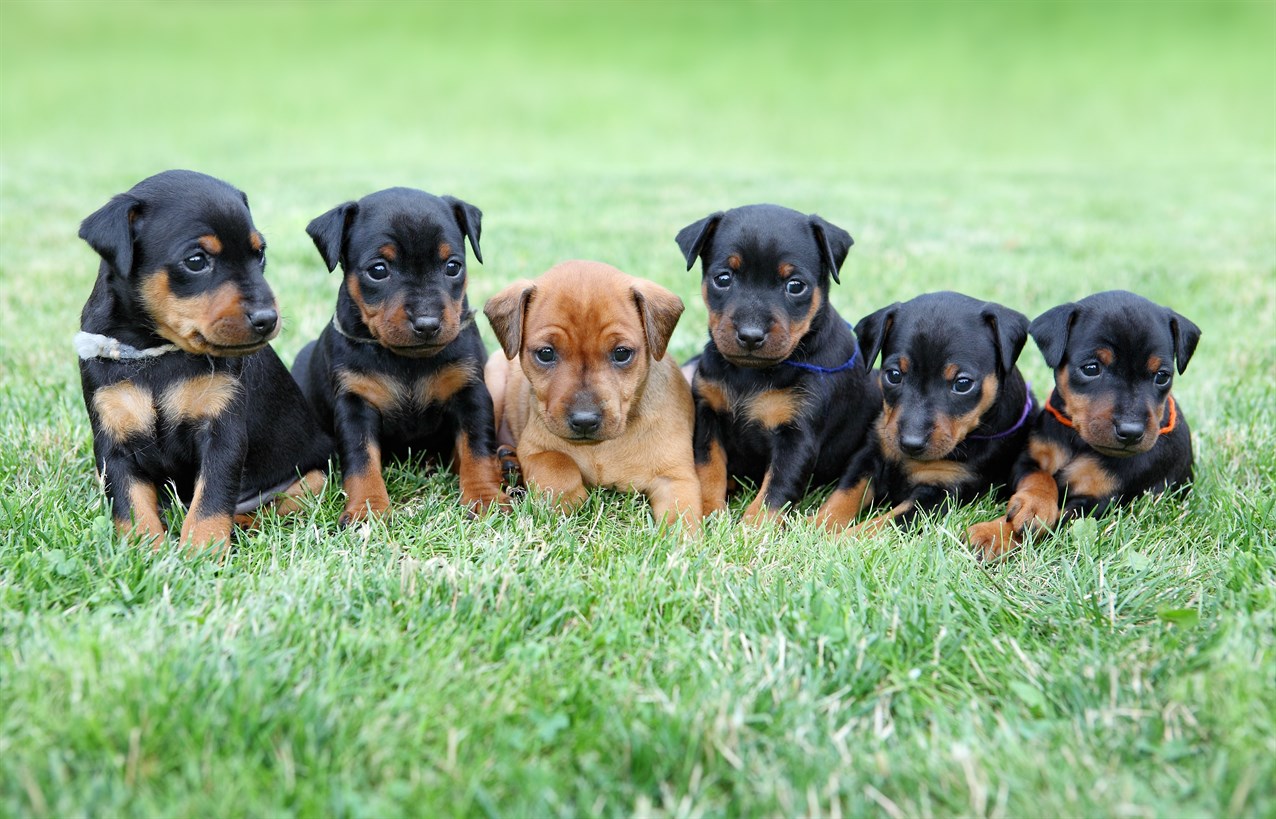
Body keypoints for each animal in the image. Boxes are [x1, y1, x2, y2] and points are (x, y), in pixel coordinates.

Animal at [74, 167, 334, 548]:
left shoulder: (222, 433)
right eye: (196, 261)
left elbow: (210, 502)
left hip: (313, 476)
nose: (267, 318)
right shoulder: (113, 443)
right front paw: (144, 550)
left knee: (271, 507)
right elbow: (130, 505)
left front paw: (202, 550)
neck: (158, 351)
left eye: (260, 255)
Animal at [292, 186, 505, 523]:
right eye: (378, 270)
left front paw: (485, 499)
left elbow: (477, 449)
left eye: (453, 266)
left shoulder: (470, 392)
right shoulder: (355, 404)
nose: (427, 323)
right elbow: (361, 461)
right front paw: (367, 509)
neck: (405, 360)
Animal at [678, 202, 877, 523]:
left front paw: (752, 529)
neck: (751, 373)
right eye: (723, 278)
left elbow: (775, 491)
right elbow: (708, 468)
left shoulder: (797, 436)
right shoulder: (708, 415)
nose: (750, 335)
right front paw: (710, 512)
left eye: (795, 285)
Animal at [821, 292, 1041, 530]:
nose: (910, 444)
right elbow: (842, 497)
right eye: (893, 375)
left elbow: (880, 524)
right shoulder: (870, 454)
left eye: (962, 383)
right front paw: (816, 526)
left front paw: (839, 536)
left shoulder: (941, 492)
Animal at [969, 290, 1199, 558]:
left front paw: (992, 535)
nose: (1131, 432)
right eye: (1091, 368)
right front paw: (1034, 505)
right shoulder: (1028, 459)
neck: (1078, 441)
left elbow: (1054, 521)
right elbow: (1040, 478)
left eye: (1162, 376)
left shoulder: (1097, 502)